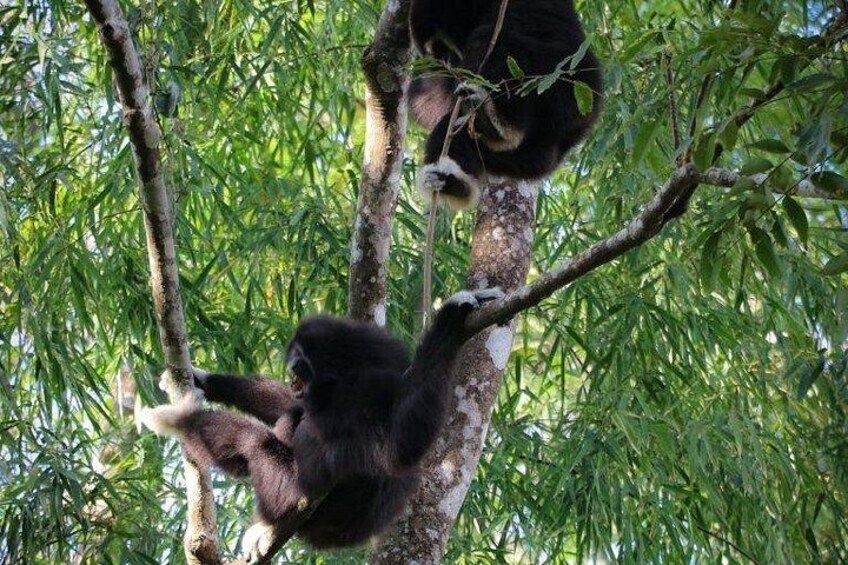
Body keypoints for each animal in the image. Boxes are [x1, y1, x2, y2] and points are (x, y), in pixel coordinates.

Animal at [141, 288, 504, 560]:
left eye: (302, 358)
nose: (292, 366)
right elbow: (291, 404)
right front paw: (203, 380)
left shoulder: (364, 393)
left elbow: (397, 448)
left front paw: (450, 322)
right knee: (290, 416)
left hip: (289, 495)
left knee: (257, 442)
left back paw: (181, 419)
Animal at [409, 0, 603, 210]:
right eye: (440, 55)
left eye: (443, 48)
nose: (449, 62)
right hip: (531, 157)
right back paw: (454, 184)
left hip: (567, 87)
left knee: (499, 42)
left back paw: (498, 122)